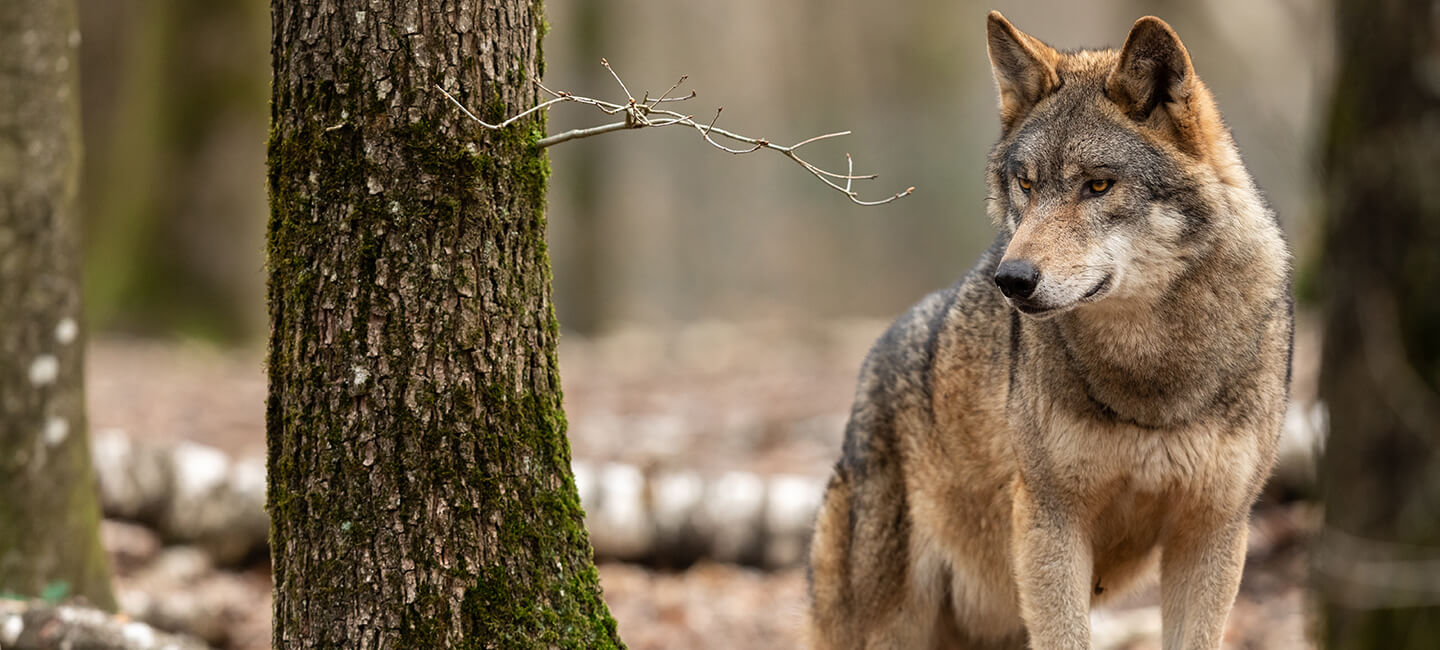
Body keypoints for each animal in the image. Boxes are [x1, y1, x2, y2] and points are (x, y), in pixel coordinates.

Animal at [812, 11, 1296, 650]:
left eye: (1098, 185)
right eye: (1026, 184)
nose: (1011, 279)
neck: (1153, 375)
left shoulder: (1214, 529)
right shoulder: (1051, 520)